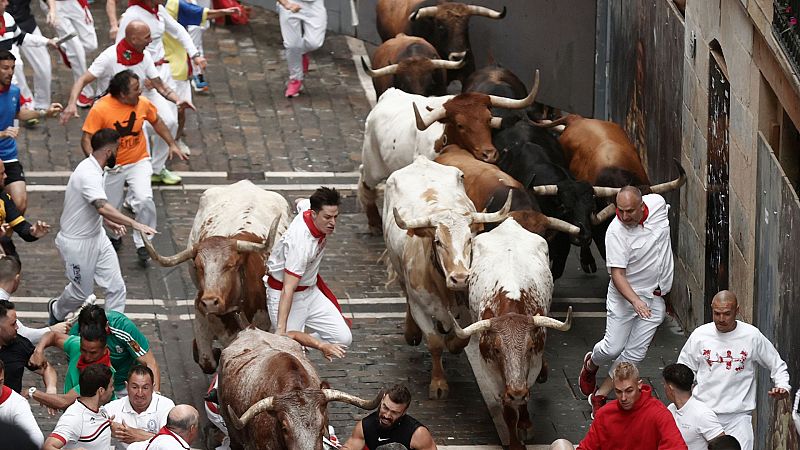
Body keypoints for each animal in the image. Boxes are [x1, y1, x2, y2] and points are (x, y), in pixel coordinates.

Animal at [382, 156, 512, 400]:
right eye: (438, 241)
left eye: (470, 239)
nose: (460, 278)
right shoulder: (420, 306)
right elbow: (434, 342)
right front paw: (438, 383)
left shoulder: (469, 309)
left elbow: (462, 338)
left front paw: (453, 342)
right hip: (401, 275)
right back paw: (411, 332)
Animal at [450, 218, 576, 450]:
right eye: (497, 349)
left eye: (529, 347)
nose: (516, 392)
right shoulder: (491, 371)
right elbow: (508, 412)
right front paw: (515, 440)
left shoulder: (532, 363)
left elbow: (527, 396)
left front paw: (525, 424)